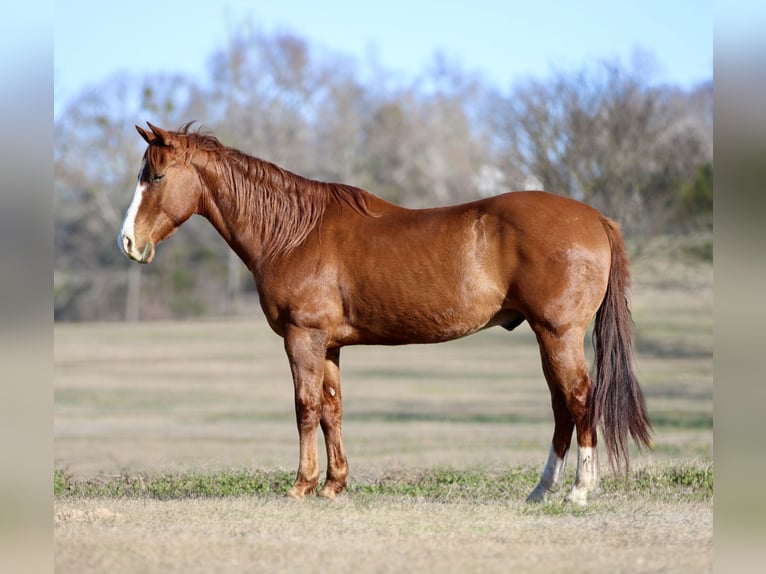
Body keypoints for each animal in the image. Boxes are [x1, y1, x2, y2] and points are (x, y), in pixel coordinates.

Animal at [118, 122, 652, 504]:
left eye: (156, 176)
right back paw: (541, 490)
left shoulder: (302, 337)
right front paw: (334, 485)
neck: (293, 233)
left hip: (558, 334)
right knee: (562, 406)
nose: (128, 242)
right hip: (547, 337)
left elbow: (305, 407)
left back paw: (580, 490)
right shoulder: (329, 344)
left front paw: (301, 485)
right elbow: (332, 409)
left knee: (580, 399)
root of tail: (595, 217)